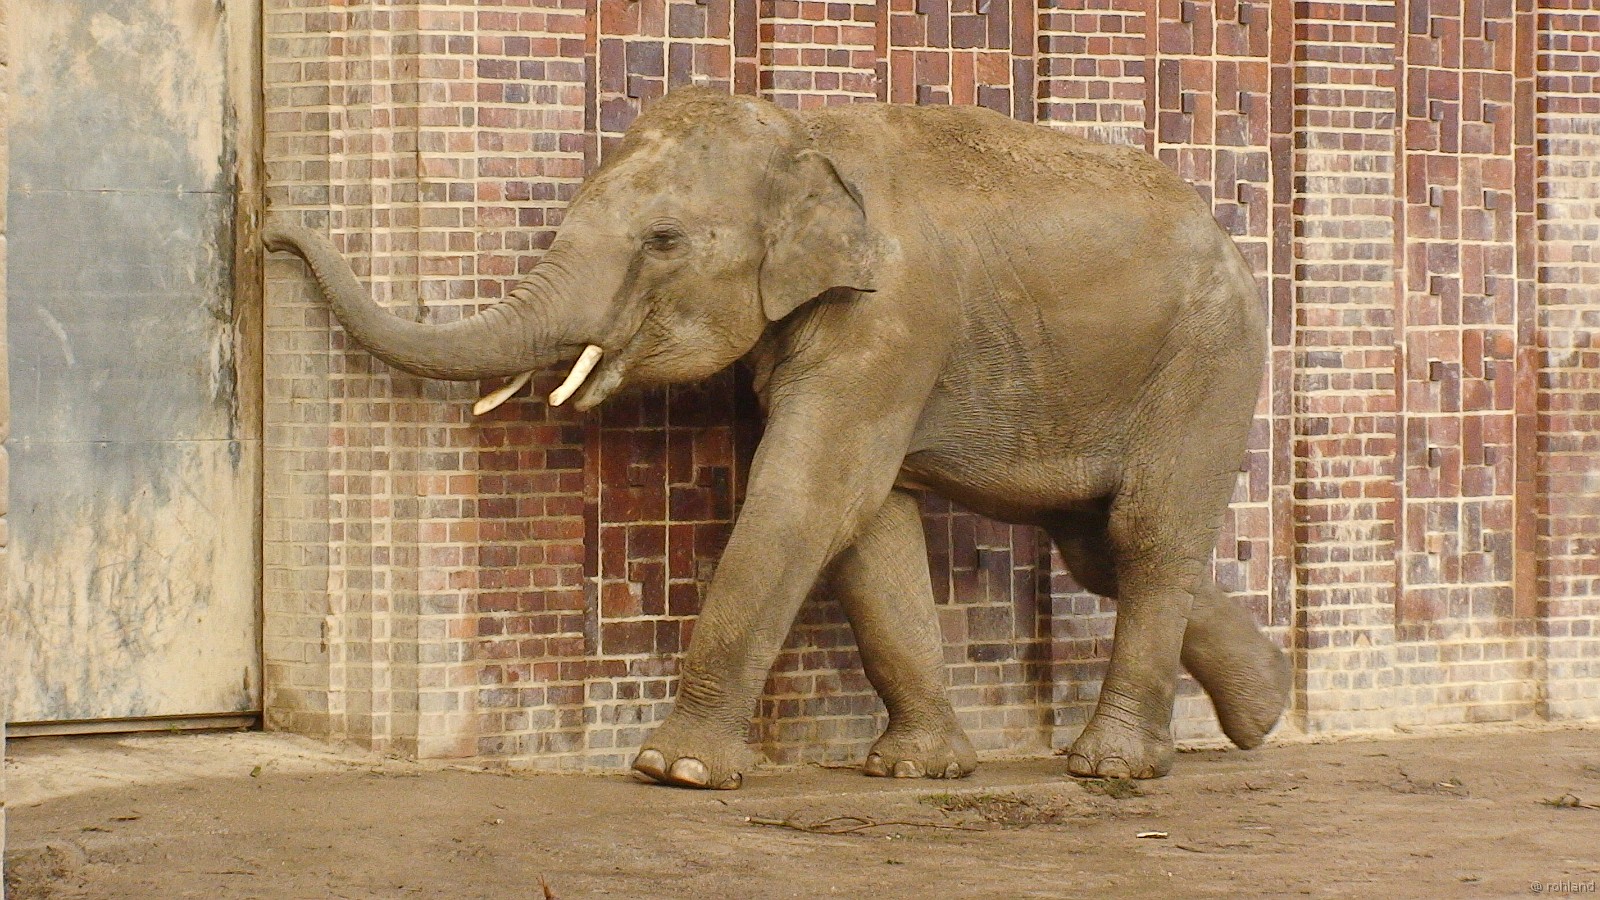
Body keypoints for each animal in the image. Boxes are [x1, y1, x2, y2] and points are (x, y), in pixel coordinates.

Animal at [263, 86, 1291, 790]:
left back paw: (1111, 766)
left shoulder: (892, 316)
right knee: (1094, 546)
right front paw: (913, 771)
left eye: (664, 240)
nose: (269, 232)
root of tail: (1231, 241)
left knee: (1144, 537)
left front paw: (671, 771)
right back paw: (1263, 710)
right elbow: (870, 525)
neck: (805, 137)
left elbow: (810, 495)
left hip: (1212, 360)